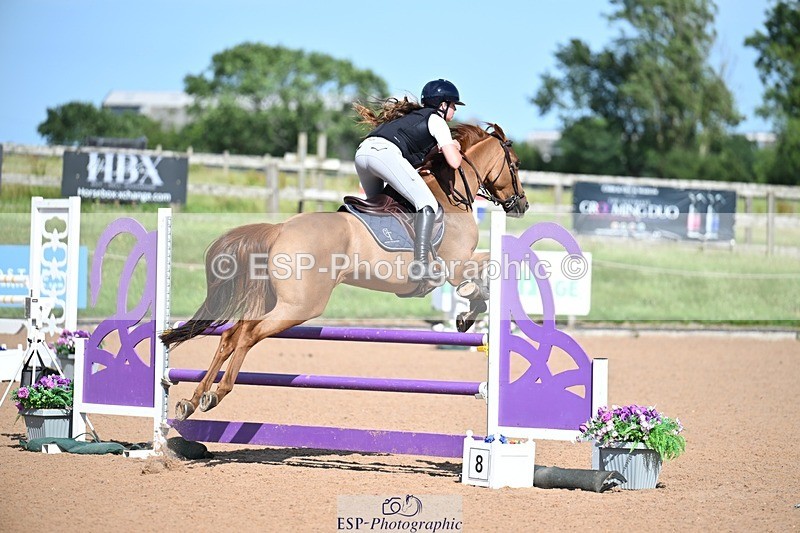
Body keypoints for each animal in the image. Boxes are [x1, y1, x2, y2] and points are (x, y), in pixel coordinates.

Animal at [160, 123, 529, 421]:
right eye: (515, 164)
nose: (522, 204)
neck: (451, 195)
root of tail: (280, 230)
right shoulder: (456, 264)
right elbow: (484, 274)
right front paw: (469, 312)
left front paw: (467, 315)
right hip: (301, 306)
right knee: (248, 335)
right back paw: (217, 394)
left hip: (276, 301)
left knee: (230, 336)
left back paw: (192, 401)